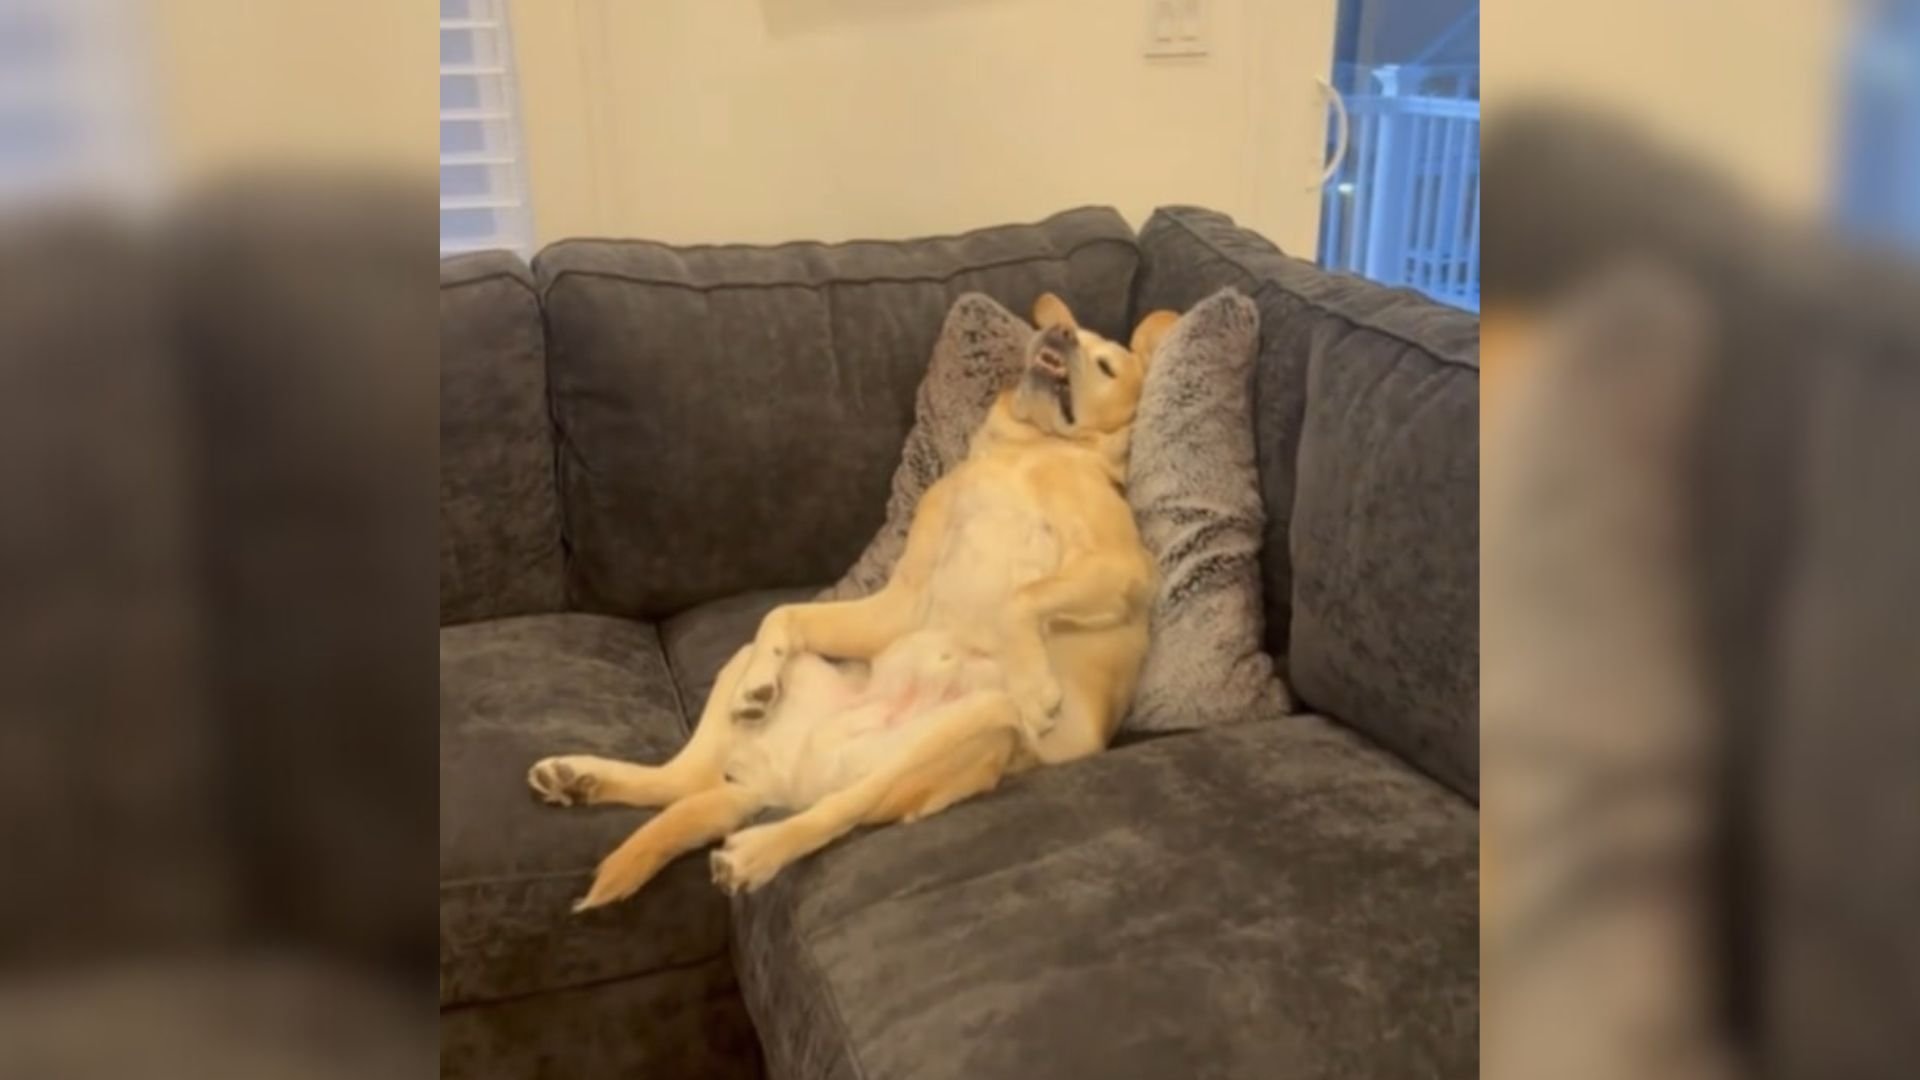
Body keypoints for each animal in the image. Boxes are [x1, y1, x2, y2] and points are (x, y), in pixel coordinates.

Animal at [533, 294, 1175, 907]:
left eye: (1106, 365)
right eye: (1072, 333)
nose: (1059, 333)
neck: (1029, 448)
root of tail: (783, 784)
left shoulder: (1121, 568)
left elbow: (1022, 596)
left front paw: (1038, 686)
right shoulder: (901, 601)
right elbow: (783, 614)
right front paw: (762, 684)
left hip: (977, 724)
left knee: (840, 809)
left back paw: (755, 851)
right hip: (740, 666)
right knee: (683, 775)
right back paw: (581, 776)